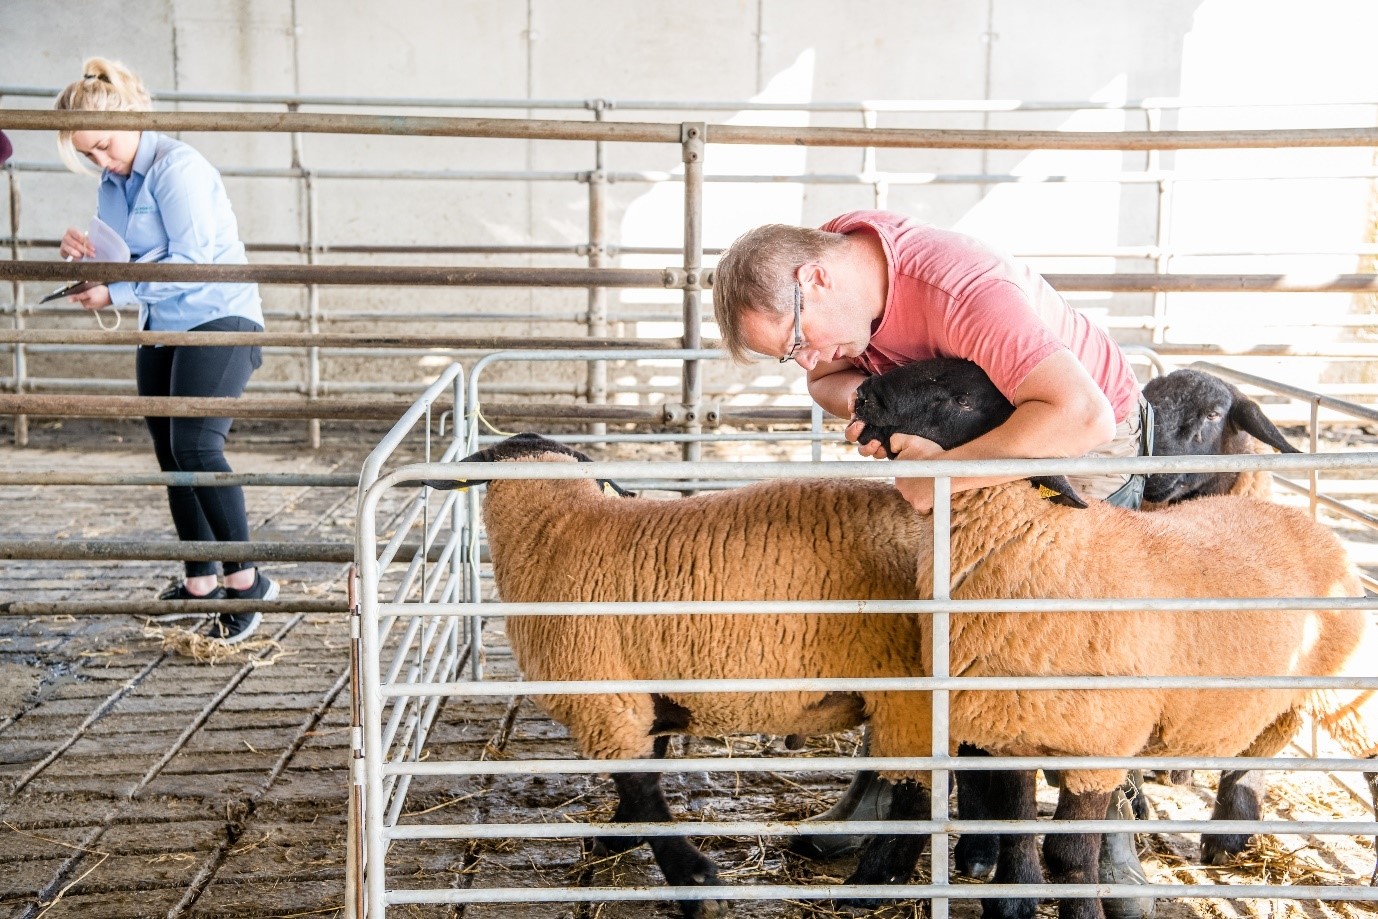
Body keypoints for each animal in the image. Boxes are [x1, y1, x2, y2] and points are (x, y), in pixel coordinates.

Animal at [848, 355, 1378, 919]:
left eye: (961, 399)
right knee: (1262, 740)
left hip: (1346, 685)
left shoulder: (1099, 741)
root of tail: (1307, 520)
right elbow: (1016, 827)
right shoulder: (1010, 726)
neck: (1046, 545)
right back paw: (1229, 837)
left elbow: (1069, 854)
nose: (863, 395)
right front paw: (1013, 901)